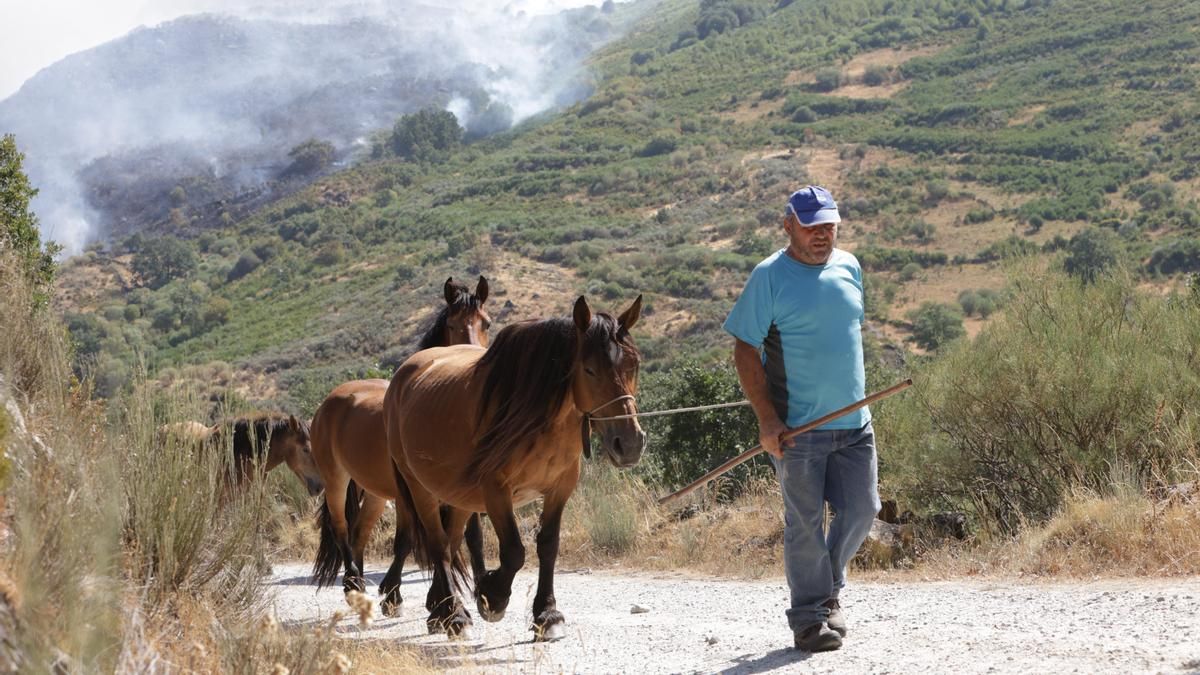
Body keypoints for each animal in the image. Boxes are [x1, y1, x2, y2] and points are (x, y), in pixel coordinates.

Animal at [310, 276, 491, 614]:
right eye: (452, 323)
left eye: (486, 322)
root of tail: (333, 399)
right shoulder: (411, 493)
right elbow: (413, 541)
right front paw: (402, 595)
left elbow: (468, 537)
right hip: (336, 480)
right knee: (341, 528)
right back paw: (353, 584)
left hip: (375, 494)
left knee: (359, 533)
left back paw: (357, 584)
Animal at [385, 294, 645, 639]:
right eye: (589, 370)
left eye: (634, 365)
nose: (629, 444)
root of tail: (403, 375)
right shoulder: (496, 490)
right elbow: (514, 551)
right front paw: (492, 595)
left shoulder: (560, 487)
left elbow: (548, 545)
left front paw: (546, 614)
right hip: (419, 488)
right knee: (438, 544)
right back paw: (453, 615)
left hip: (458, 496)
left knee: (451, 542)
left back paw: (440, 609)